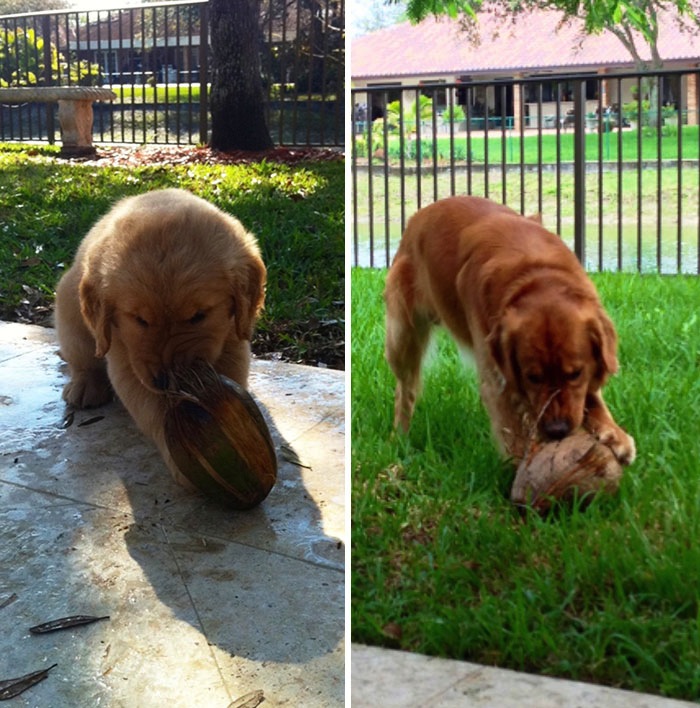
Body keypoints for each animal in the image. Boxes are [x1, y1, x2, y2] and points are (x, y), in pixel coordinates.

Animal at [54, 187, 266, 486]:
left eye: (199, 315)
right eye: (139, 319)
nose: (166, 382)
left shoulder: (233, 338)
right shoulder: (126, 358)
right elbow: (153, 408)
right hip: (70, 308)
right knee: (82, 358)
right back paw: (85, 385)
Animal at [386, 196, 636, 468]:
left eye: (575, 374)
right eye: (532, 377)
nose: (557, 430)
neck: (536, 275)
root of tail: (416, 218)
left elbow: (592, 396)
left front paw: (614, 433)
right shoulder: (497, 378)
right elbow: (512, 431)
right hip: (401, 338)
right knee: (405, 390)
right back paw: (399, 438)